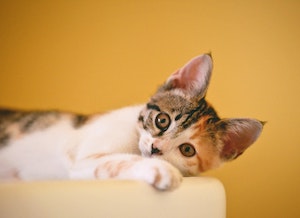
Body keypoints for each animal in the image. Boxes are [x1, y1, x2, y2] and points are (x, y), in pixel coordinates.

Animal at [0, 54, 262, 191]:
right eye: (162, 120)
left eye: (187, 150)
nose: (156, 149)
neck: (135, 144)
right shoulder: (82, 159)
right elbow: (116, 160)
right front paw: (161, 170)